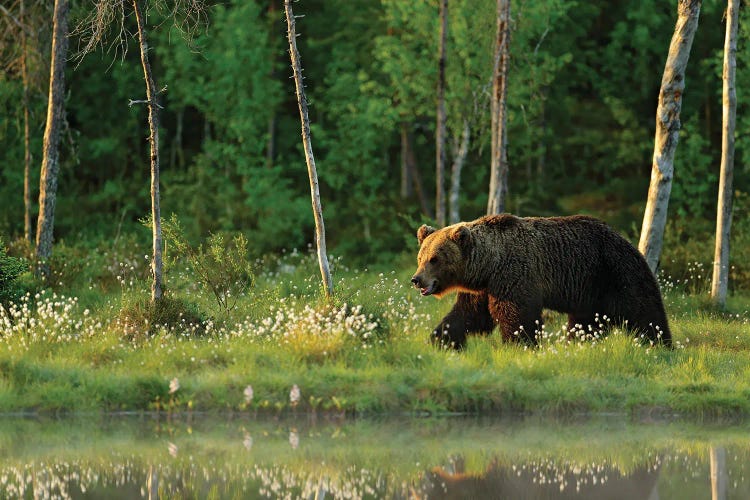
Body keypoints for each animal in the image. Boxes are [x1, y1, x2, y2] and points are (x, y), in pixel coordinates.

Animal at [414, 214, 672, 348]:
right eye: (421, 257)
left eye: (435, 259)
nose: (416, 279)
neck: (489, 266)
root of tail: (626, 240)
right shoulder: (483, 289)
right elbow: (468, 315)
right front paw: (440, 339)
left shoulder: (514, 276)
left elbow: (517, 316)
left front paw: (518, 344)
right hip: (590, 292)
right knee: (587, 322)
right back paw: (578, 343)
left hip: (614, 271)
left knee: (642, 309)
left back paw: (660, 342)